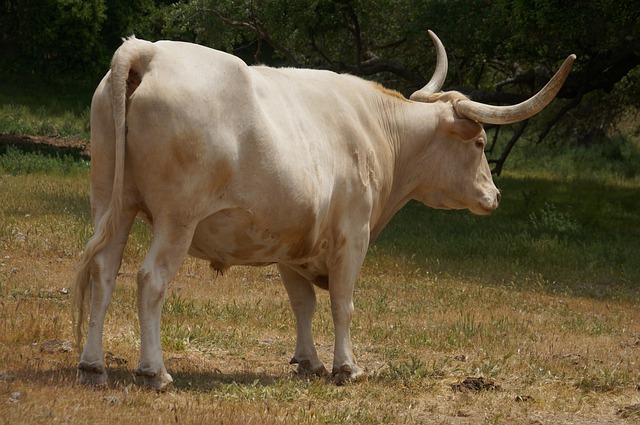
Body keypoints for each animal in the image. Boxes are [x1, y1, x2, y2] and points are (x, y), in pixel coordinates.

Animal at [71, 29, 576, 388]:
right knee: (150, 279)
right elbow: (342, 303)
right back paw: (154, 371)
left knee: (103, 270)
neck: (380, 131)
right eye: (479, 143)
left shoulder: (289, 241)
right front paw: (346, 367)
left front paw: (308, 361)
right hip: (177, 219)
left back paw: (93, 364)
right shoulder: (352, 236)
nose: (495, 196)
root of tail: (148, 51)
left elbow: (304, 303)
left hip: (111, 204)